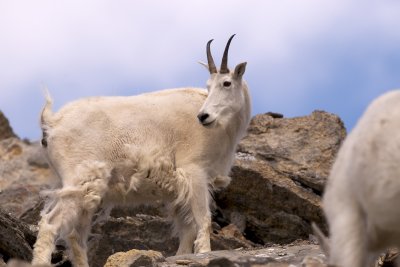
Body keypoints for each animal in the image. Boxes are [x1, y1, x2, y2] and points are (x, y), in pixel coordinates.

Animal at [30, 36, 250, 267]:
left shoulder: (178, 189)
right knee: (50, 224)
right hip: (79, 181)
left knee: (75, 235)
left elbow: (187, 228)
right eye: (208, 85)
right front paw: (204, 254)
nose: (203, 116)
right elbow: (203, 219)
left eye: (226, 83)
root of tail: (51, 123)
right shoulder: (194, 171)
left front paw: (182, 256)